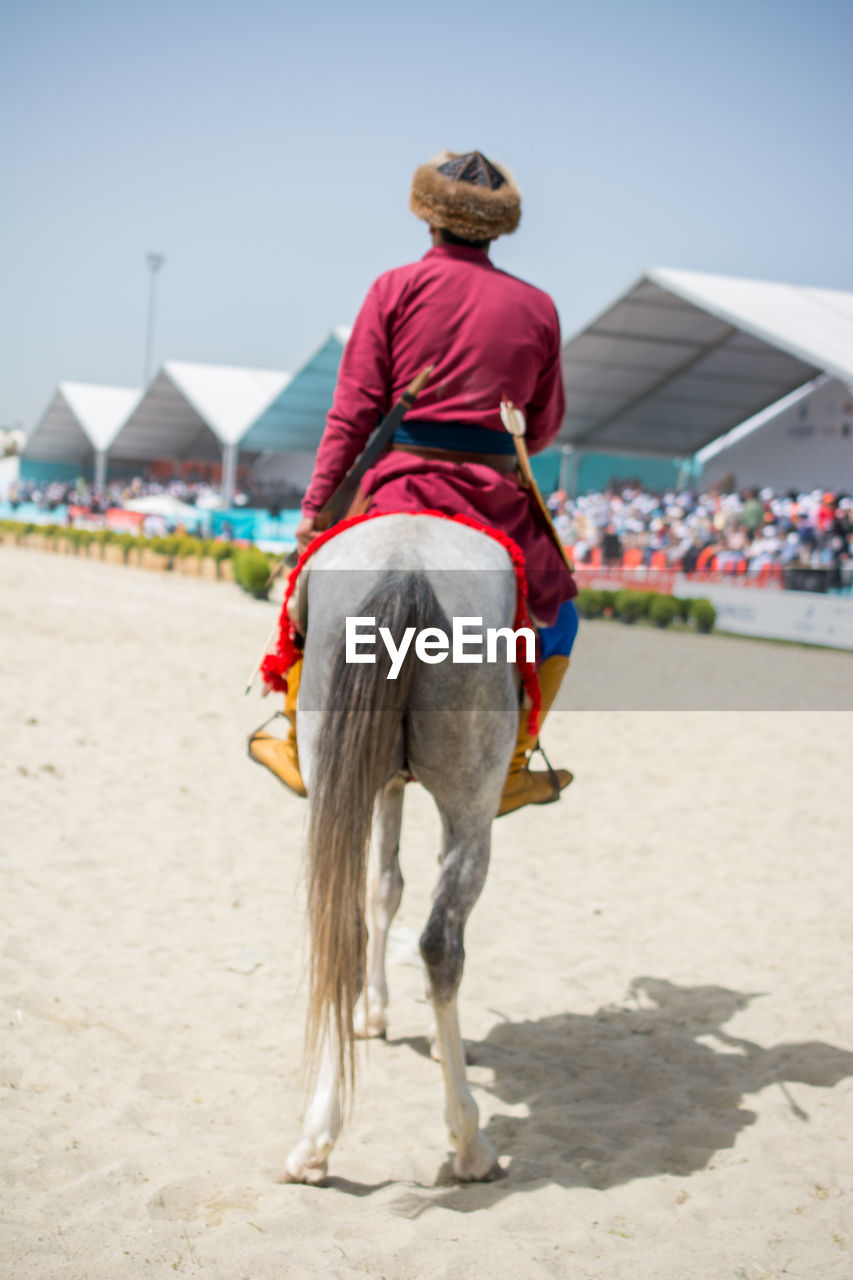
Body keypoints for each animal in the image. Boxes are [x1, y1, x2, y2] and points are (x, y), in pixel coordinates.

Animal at [281, 509, 514, 1177]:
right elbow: (400, 891)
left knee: (342, 932)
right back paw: (469, 1139)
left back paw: (316, 1137)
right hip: (473, 803)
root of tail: (407, 568)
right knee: (442, 943)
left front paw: (373, 1011)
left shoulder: (379, 778)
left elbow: (382, 889)